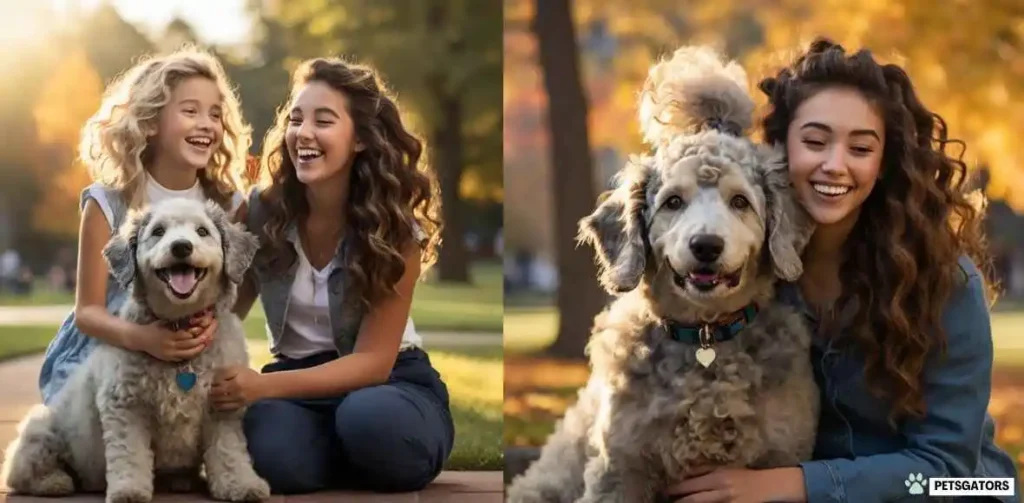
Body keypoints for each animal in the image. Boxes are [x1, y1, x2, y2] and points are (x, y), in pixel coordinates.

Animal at [1, 198, 272, 501]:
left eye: (202, 231)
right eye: (158, 231)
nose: (181, 246)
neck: (179, 322)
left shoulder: (223, 402)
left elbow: (229, 451)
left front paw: (241, 484)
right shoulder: (125, 405)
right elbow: (130, 454)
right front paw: (128, 491)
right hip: (41, 427)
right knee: (20, 472)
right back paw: (54, 482)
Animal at [507, 47, 819, 503]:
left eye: (740, 202)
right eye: (673, 202)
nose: (705, 245)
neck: (706, 341)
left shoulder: (781, 456)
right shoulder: (619, 468)